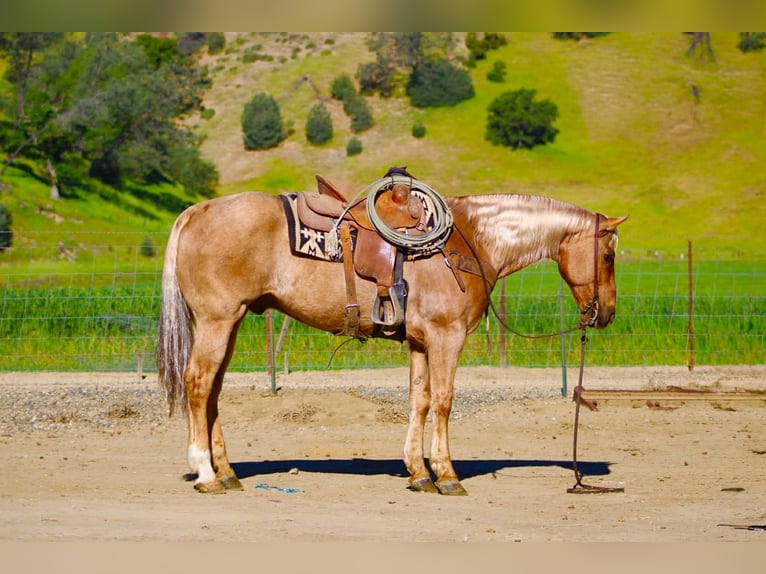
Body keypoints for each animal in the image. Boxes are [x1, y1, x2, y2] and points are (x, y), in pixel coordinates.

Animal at [156, 174, 627, 495]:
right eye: (608, 255)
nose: (606, 313)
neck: (471, 241)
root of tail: (195, 211)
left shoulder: (419, 341)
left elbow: (419, 400)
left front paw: (419, 473)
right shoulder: (446, 337)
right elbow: (443, 401)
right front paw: (447, 474)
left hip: (230, 323)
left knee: (213, 391)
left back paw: (227, 471)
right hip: (217, 321)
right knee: (198, 384)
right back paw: (205, 472)